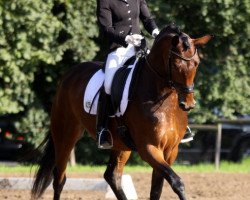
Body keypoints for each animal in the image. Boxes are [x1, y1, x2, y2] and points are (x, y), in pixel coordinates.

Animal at [30, 25, 212, 200]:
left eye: (196, 63)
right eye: (175, 64)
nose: (188, 103)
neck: (164, 103)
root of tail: (69, 75)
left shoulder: (171, 150)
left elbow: (156, 190)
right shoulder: (149, 148)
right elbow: (176, 182)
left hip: (121, 143)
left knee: (112, 176)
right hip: (65, 136)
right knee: (59, 179)